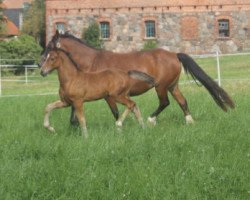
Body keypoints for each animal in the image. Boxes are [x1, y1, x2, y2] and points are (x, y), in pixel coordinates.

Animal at [39, 31, 234, 125]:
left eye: (49, 47)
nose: (40, 65)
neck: (93, 61)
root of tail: (174, 54)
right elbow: (73, 111)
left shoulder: (108, 96)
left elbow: (115, 112)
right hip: (173, 86)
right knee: (182, 101)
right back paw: (189, 122)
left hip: (161, 87)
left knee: (165, 103)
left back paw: (151, 120)